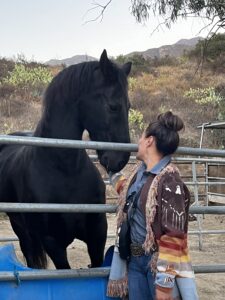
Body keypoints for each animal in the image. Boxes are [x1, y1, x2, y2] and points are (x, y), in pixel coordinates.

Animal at [0, 49, 132, 270]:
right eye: (113, 106)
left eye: (129, 106)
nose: (120, 159)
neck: (66, 171)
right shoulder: (52, 242)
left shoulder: (97, 232)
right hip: (19, 227)